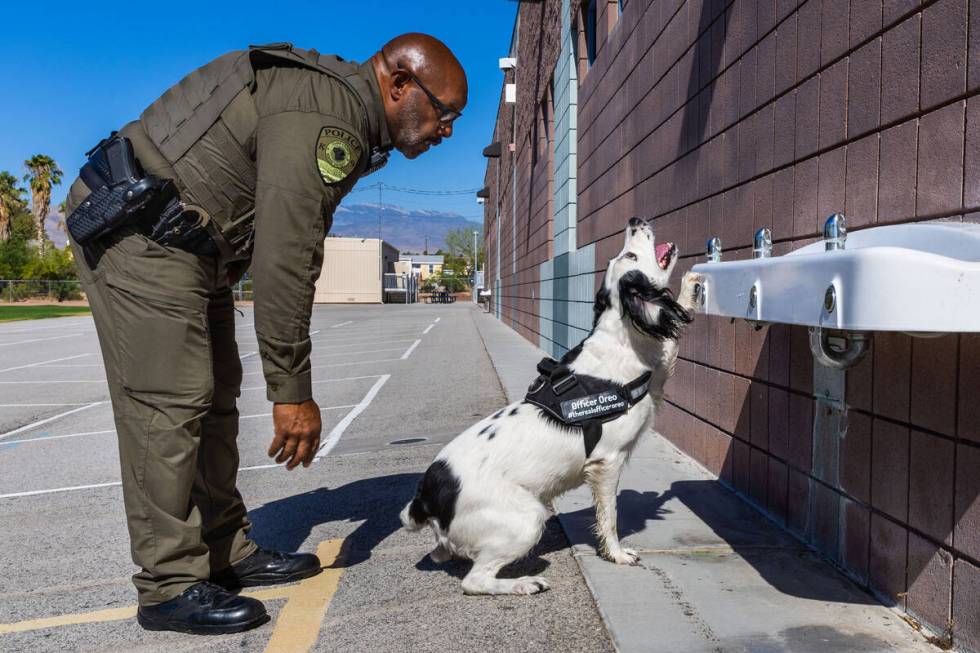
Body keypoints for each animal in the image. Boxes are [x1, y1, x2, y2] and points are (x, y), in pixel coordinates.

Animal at [402, 216, 700, 592]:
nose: (634, 221)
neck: (620, 333)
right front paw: (617, 554)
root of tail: (428, 492)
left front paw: (691, 288)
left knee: (443, 554)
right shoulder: (607, 462)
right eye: (630, 254)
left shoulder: (657, 374)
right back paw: (524, 583)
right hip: (528, 517)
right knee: (474, 580)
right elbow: (610, 517)